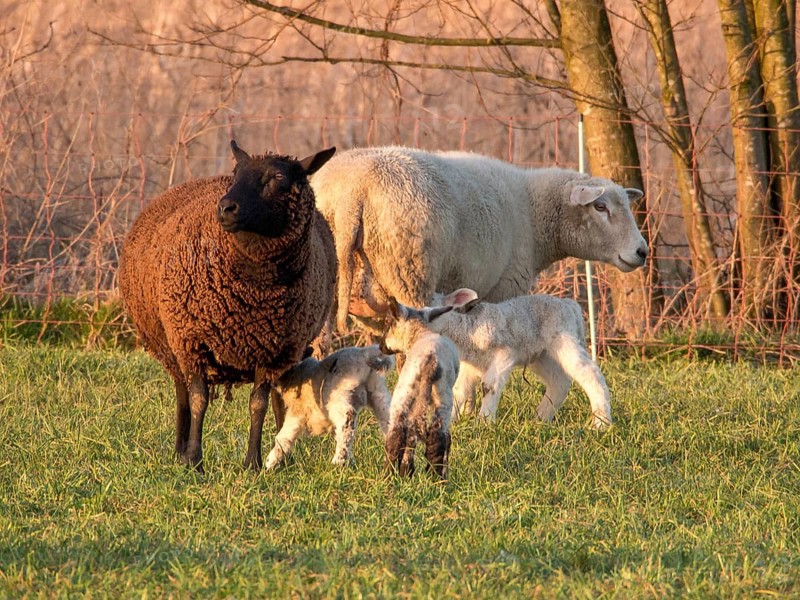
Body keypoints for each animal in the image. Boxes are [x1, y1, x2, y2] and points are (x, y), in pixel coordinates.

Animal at [118, 141, 337, 472]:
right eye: (236, 173)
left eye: (278, 176)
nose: (225, 208)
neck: (258, 289)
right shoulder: (192, 340)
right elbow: (198, 400)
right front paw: (194, 460)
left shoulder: (273, 350)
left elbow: (258, 404)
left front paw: (253, 463)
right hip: (169, 344)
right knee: (182, 394)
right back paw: (179, 451)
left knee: (278, 397)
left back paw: (282, 454)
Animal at [264, 345, 394, 471]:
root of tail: (364, 354)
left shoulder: (297, 412)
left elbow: (283, 436)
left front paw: (270, 463)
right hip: (377, 392)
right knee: (389, 418)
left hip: (337, 395)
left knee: (347, 419)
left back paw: (339, 461)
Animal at [310, 146, 649, 332]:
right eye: (600, 207)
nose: (642, 251)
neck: (532, 211)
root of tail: (353, 193)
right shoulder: (500, 291)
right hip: (407, 274)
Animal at [379, 298, 460, 480]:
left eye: (388, 323)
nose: (380, 346)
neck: (420, 334)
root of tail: (429, 360)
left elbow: (409, 437)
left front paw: (406, 471)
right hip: (443, 398)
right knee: (437, 440)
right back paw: (437, 479)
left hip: (403, 393)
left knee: (395, 437)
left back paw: (389, 476)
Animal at [428, 288, 612, 429]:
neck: (467, 331)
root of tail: (570, 304)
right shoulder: (469, 367)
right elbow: (459, 391)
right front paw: (449, 420)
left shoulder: (504, 354)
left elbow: (489, 386)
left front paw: (484, 422)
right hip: (541, 354)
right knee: (559, 382)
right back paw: (540, 418)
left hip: (563, 338)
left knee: (590, 372)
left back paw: (601, 422)